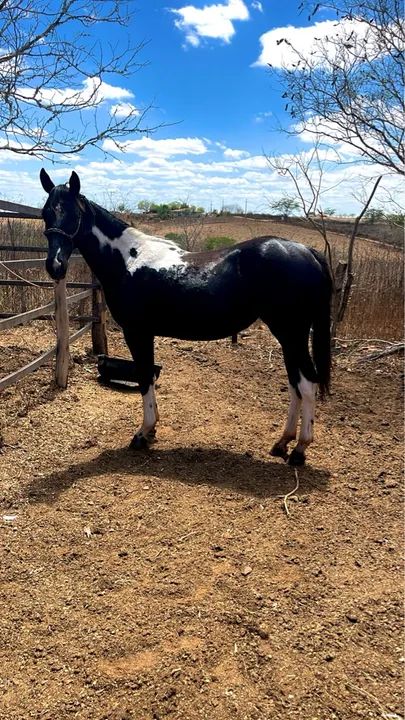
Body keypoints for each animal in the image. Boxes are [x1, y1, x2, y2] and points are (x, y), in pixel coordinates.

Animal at [40, 169, 332, 466]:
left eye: (73, 214)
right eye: (46, 213)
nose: (55, 266)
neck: (129, 260)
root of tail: (308, 252)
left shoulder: (137, 332)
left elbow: (144, 375)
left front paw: (143, 434)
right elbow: (148, 376)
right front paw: (151, 430)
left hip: (291, 332)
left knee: (307, 383)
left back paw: (299, 450)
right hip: (287, 336)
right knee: (295, 382)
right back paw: (282, 443)